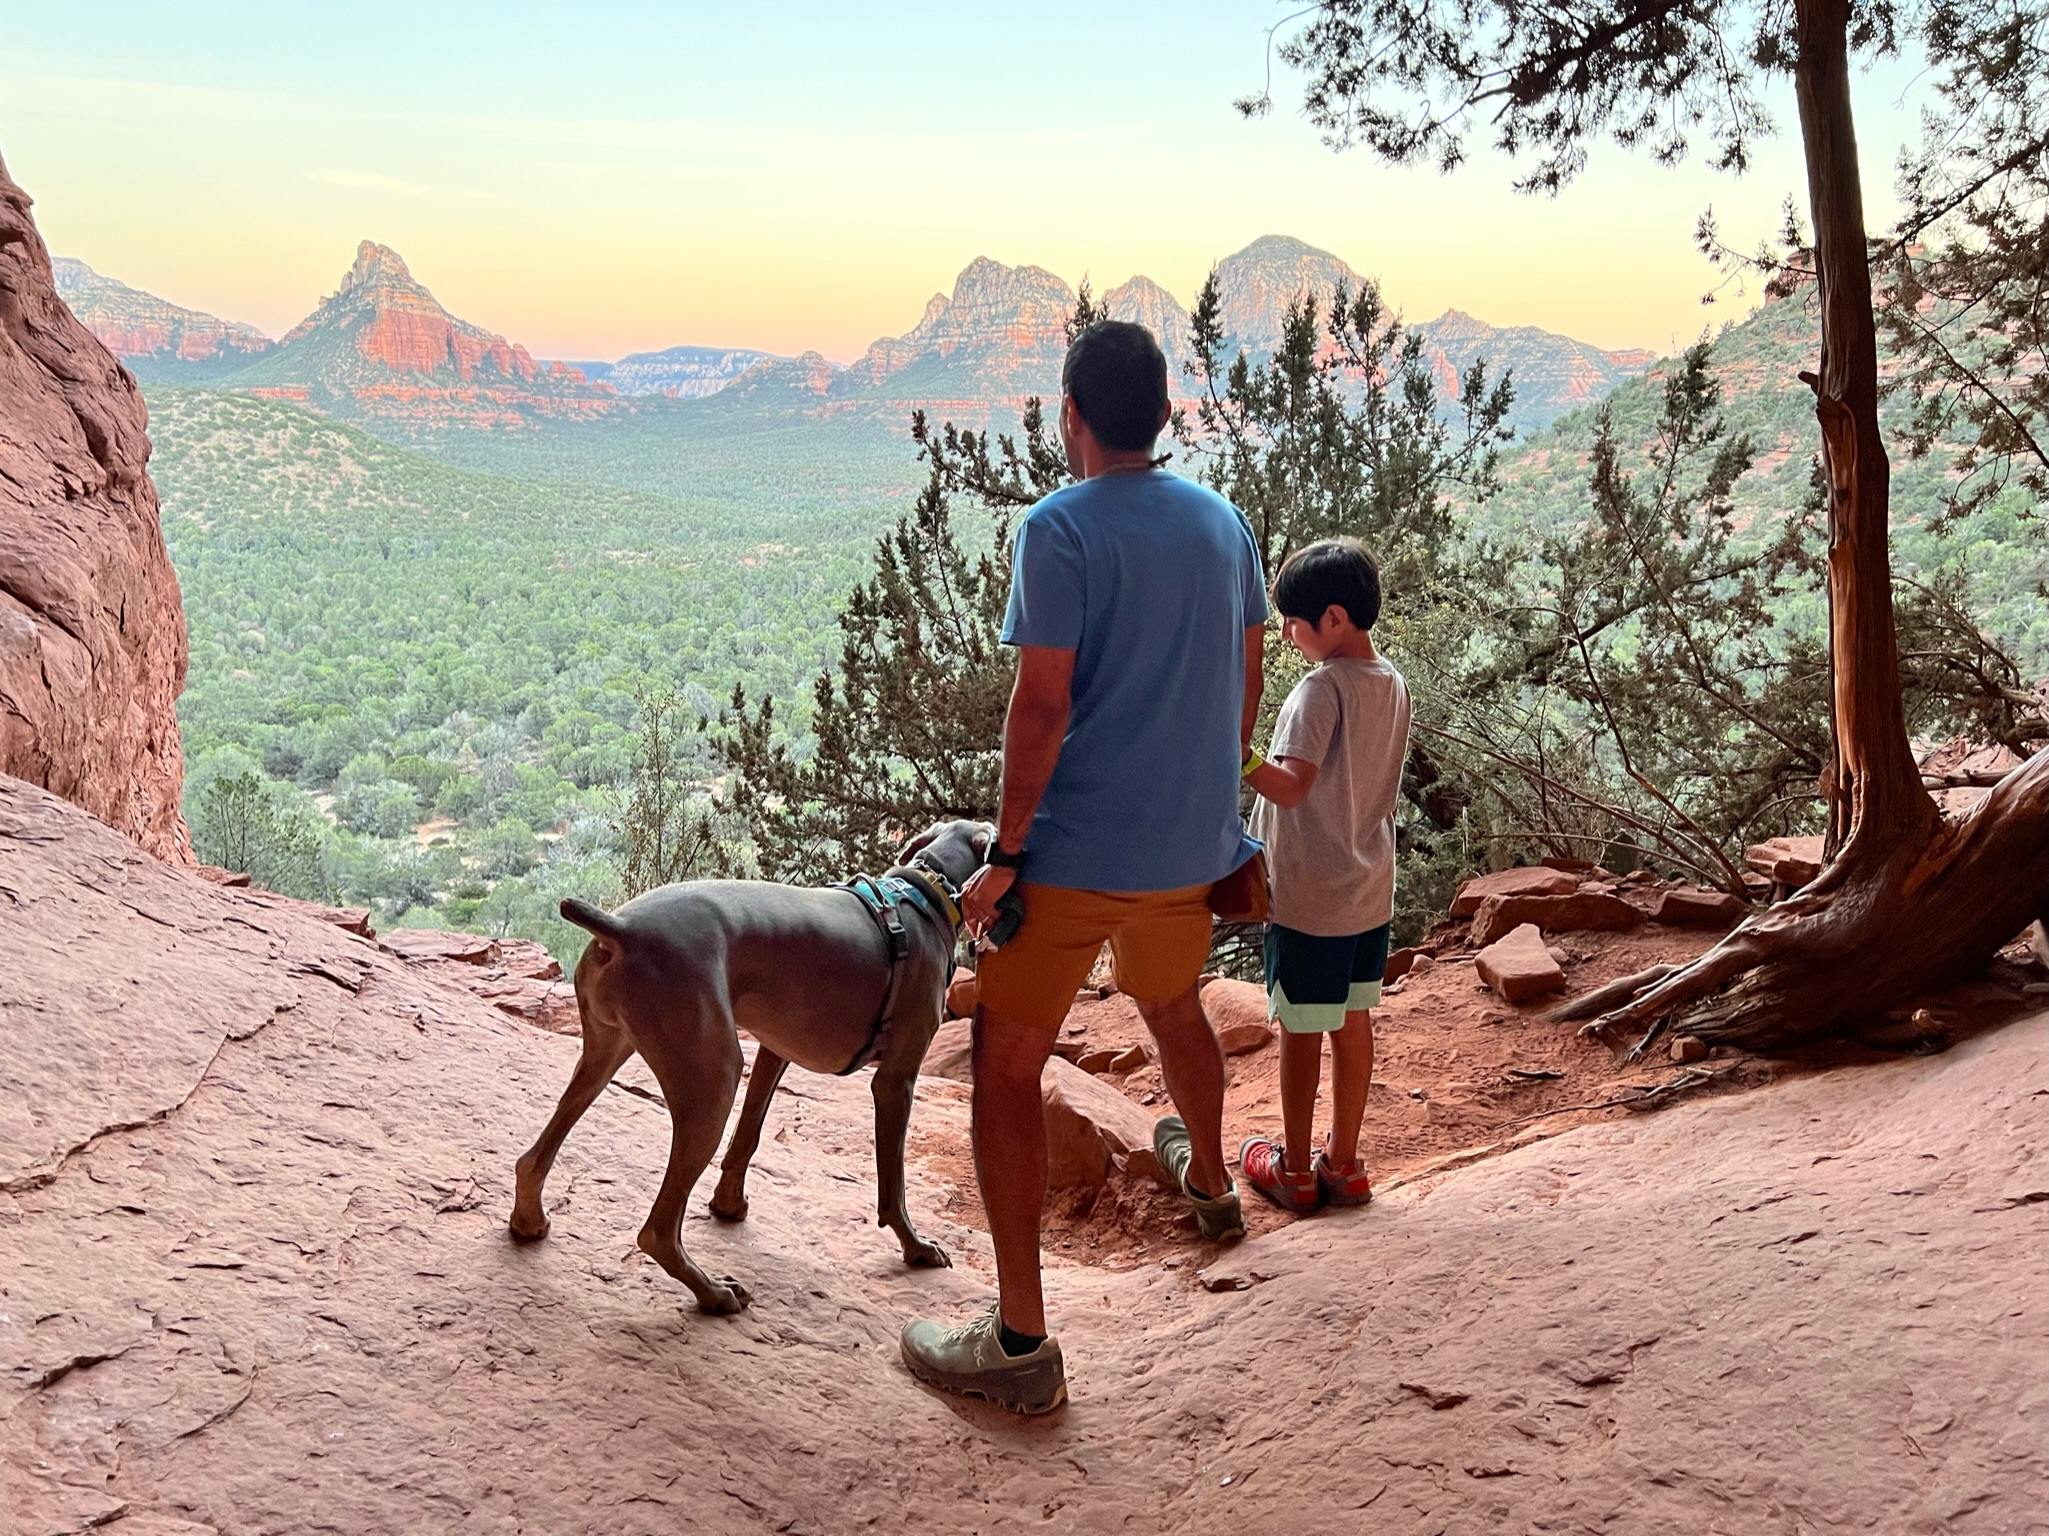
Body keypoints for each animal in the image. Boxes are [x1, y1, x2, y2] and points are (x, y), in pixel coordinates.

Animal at [512, 823, 991, 1318]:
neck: (928, 890)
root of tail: (620, 929)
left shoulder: (773, 1049)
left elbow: (748, 1135)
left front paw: (728, 1204)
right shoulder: (897, 1079)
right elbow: (892, 1185)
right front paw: (915, 1247)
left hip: (605, 1055)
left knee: (532, 1159)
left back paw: (528, 1220)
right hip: (714, 1076)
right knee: (657, 1232)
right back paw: (713, 1292)